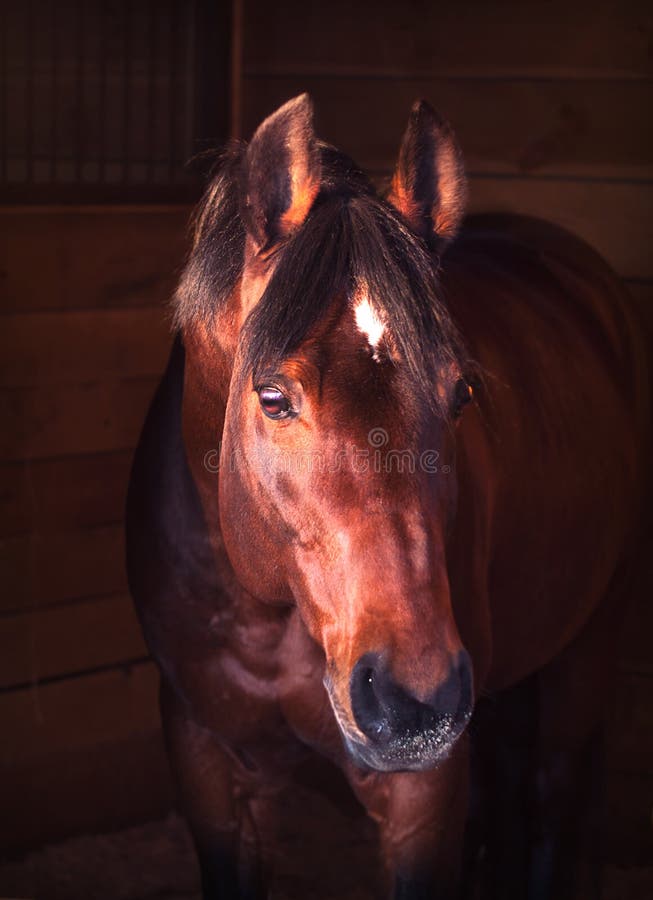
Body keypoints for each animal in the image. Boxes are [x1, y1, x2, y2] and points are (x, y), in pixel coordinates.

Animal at [126, 95, 648, 896]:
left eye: (461, 394)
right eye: (272, 397)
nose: (417, 705)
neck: (269, 613)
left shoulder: (419, 796)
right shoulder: (205, 759)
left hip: (587, 643)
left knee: (553, 797)